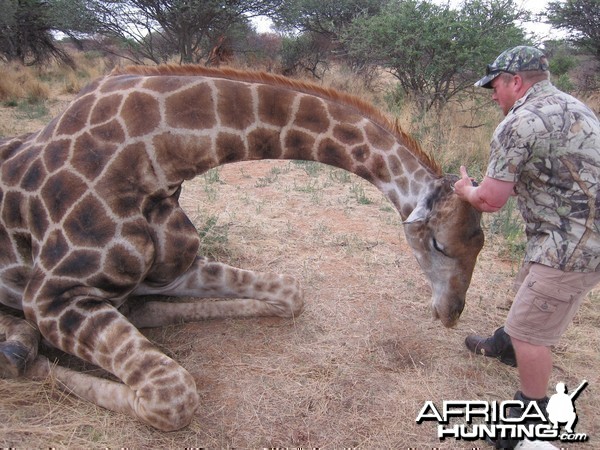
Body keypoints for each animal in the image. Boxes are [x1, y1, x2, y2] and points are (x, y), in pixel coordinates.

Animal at [0, 66, 486, 428]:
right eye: (440, 244)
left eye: (480, 245)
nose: (451, 313)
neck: (155, 158)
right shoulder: (50, 296)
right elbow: (171, 395)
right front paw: (28, 358)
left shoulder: (175, 268)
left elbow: (291, 292)